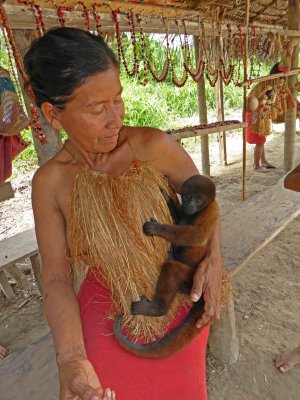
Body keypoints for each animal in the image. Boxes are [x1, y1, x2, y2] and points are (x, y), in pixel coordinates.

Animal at [113, 175, 219, 360]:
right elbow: (179, 217)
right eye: (188, 196)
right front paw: (167, 198)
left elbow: (196, 235)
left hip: (192, 280)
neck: (198, 211)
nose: (190, 205)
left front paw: (158, 228)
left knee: (172, 268)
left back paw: (157, 309)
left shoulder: (212, 211)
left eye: (198, 200)